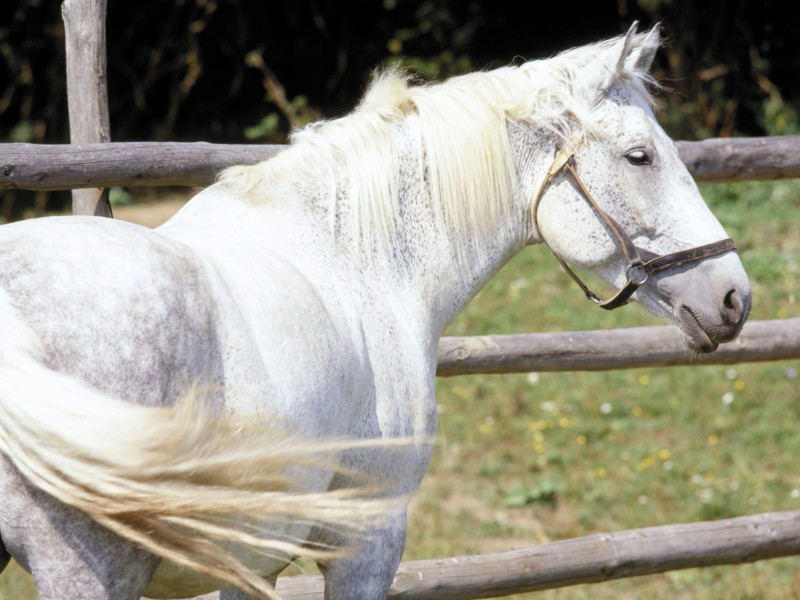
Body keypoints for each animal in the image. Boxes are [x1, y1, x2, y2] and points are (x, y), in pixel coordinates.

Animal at [0, 23, 750, 600]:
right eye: (640, 156)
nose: (734, 297)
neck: (357, 259)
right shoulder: (369, 539)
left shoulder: (248, 557)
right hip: (91, 569)